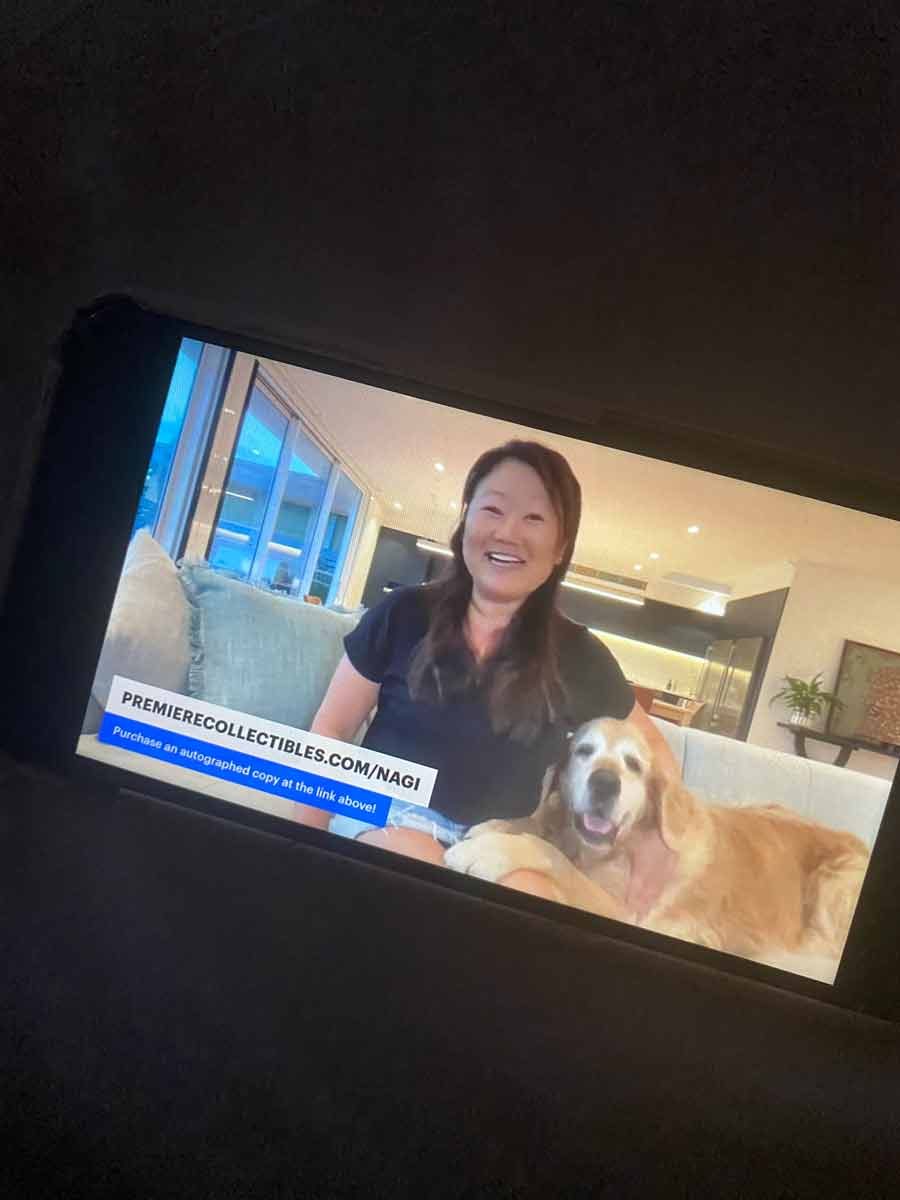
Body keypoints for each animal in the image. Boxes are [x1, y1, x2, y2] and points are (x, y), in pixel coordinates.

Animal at [445, 717, 870, 979]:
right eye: (584, 751)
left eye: (634, 764)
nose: (605, 783)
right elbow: (539, 826)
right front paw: (498, 826)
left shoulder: (632, 916)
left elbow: (550, 853)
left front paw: (490, 850)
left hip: (835, 884)